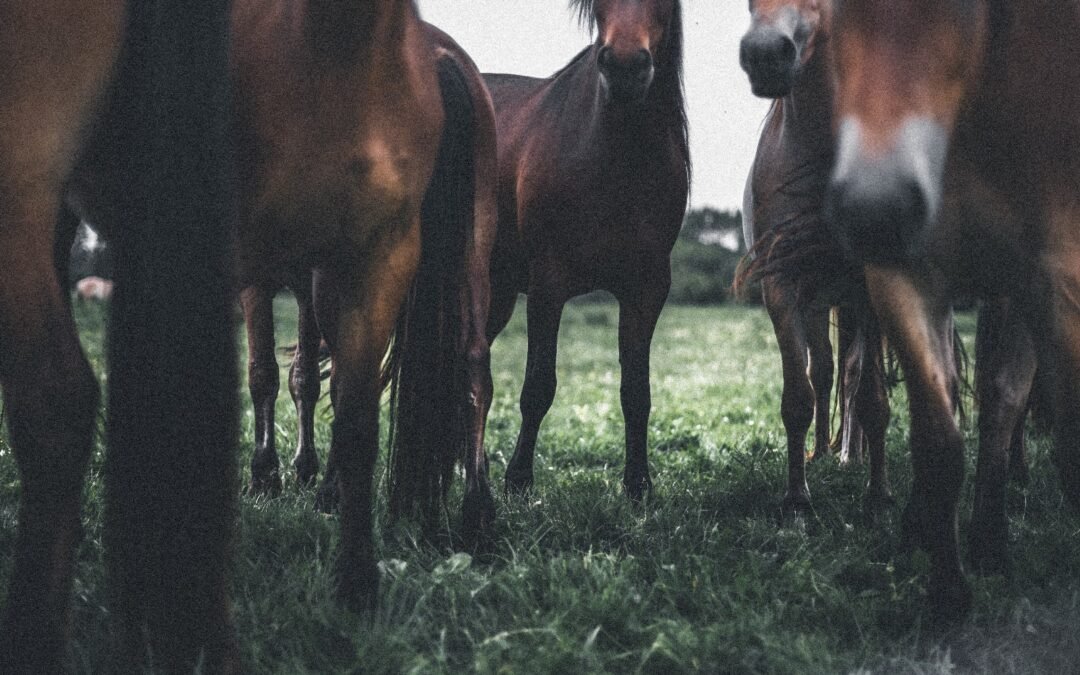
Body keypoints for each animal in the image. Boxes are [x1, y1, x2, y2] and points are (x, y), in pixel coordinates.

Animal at [229, 0, 498, 603]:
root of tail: (436, 56)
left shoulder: (271, 277)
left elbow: (266, 374)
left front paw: (269, 473)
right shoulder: (308, 276)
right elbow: (305, 376)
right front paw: (302, 467)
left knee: (358, 383)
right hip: (471, 250)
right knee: (472, 363)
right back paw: (476, 515)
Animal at [483, 0, 690, 500]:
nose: (625, 66)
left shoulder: (645, 289)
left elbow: (636, 391)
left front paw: (638, 486)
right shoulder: (548, 286)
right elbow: (538, 386)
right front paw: (518, 481)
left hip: (494, 292)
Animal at [737, 0, 893, 516]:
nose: (765, 54)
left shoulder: (869, 289)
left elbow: (870, 398)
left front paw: (878, 494)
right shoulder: (783, 287)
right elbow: (799, 396)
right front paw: (797, 499)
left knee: (852, 373)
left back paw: (852, 456)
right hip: (817, 301)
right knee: (825, 373)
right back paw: (825, 452)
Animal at [825, 0, 1080, 623]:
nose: (876, 206)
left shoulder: (1048, 279)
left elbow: (1030, 417)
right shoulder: (902, 280)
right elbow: (937, 440)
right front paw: (947, 597)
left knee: (1001, 402)